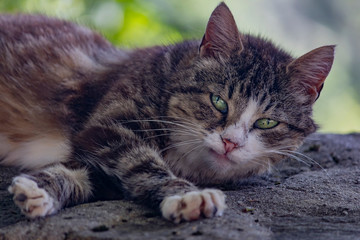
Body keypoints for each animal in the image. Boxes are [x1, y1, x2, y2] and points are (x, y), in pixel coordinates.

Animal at [0, 1, 334, 223]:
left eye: (266, 122)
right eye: (218, 101)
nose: (230, 142)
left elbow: (88, 175)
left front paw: (41, 189)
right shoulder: (110, 127)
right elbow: (142, 163)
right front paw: (188, 195)